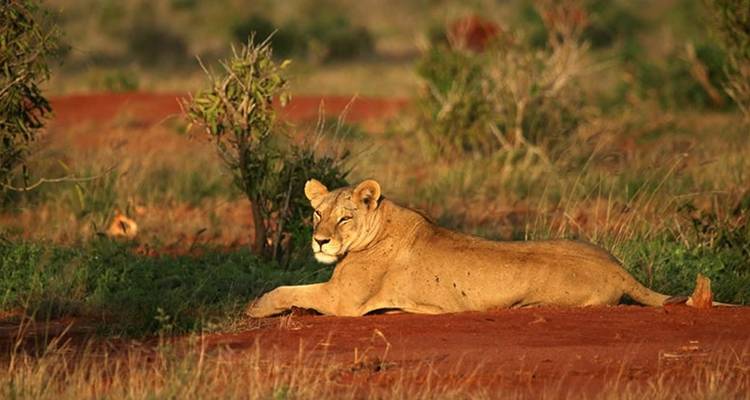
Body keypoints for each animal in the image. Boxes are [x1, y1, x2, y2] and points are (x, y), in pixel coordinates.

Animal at [246, 179, 715, 318]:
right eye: (316, 213)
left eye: (344, 218)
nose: (320, 240)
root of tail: (620, 269)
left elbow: (284, 290)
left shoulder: (342, 300)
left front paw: (254, 307)